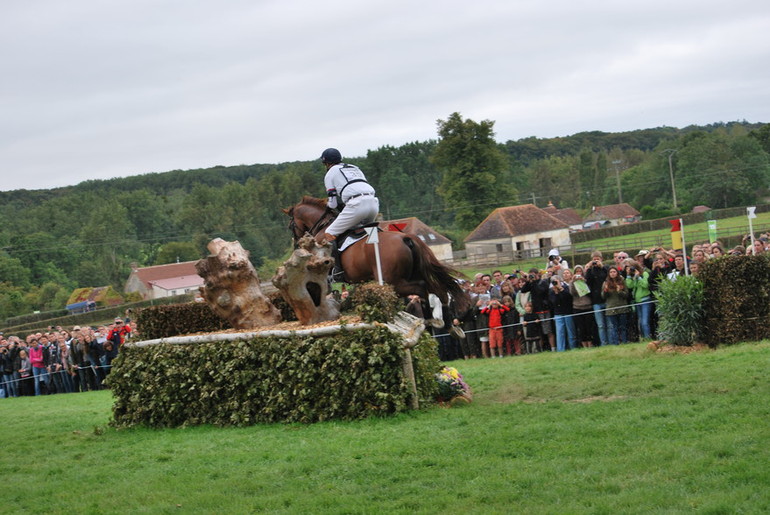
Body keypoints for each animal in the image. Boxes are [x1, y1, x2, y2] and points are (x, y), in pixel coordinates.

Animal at [284, 197, 468, 310]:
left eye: (290, 225)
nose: (296, 243)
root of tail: (406, 238)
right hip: (412, 273)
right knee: (437, 290)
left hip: (392, 282)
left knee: (423, 288)